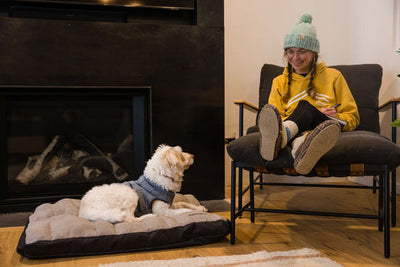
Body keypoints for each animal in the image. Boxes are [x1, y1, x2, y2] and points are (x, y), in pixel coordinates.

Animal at [79, 144, 208, 224]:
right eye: (181, 154)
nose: (193, 155)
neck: (157, 182)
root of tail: (84, 211)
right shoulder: (163, 211)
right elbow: (184, 211)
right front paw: (197, 211)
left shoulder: (169, 204)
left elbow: (184, 203)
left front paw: (199, 207)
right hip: (131, 195)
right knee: (130, 219)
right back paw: (149, 217)